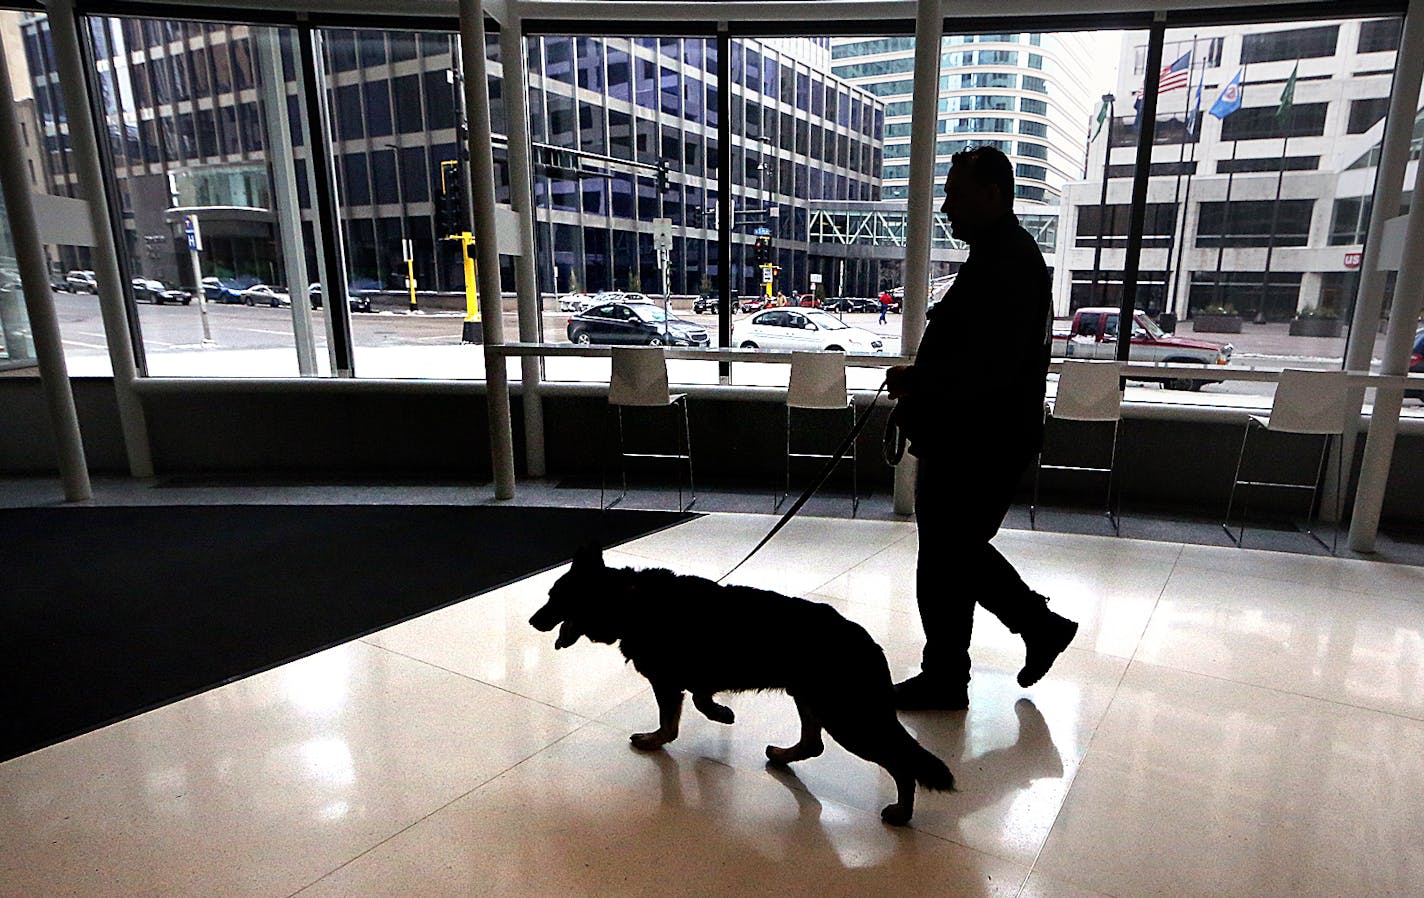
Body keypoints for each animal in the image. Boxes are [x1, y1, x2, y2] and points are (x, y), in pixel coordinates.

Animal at [532, 543, 956, 825]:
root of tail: (868, 642)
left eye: (555, 598)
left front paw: (655, 740)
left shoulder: (666, 684)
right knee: (813, 744)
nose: (533, 622)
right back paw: (782, 756)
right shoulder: (693, 679)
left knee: (900, 763)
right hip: (809, 697)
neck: (629, 602)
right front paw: (721, 713)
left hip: (847, 719)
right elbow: (700, 699)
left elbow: (670, 724)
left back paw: (902, 812)